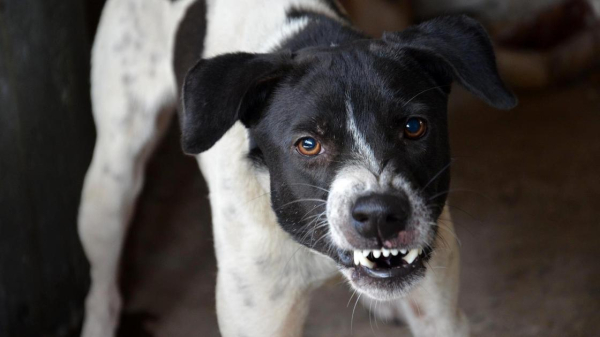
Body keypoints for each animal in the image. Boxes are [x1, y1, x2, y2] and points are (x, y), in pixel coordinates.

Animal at [78, 0, 516, 336]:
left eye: (414, 127)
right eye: (308, 144)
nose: (380, 214)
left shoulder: (440, 315)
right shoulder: (260, 317)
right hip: (111, 180)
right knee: (102, 286)